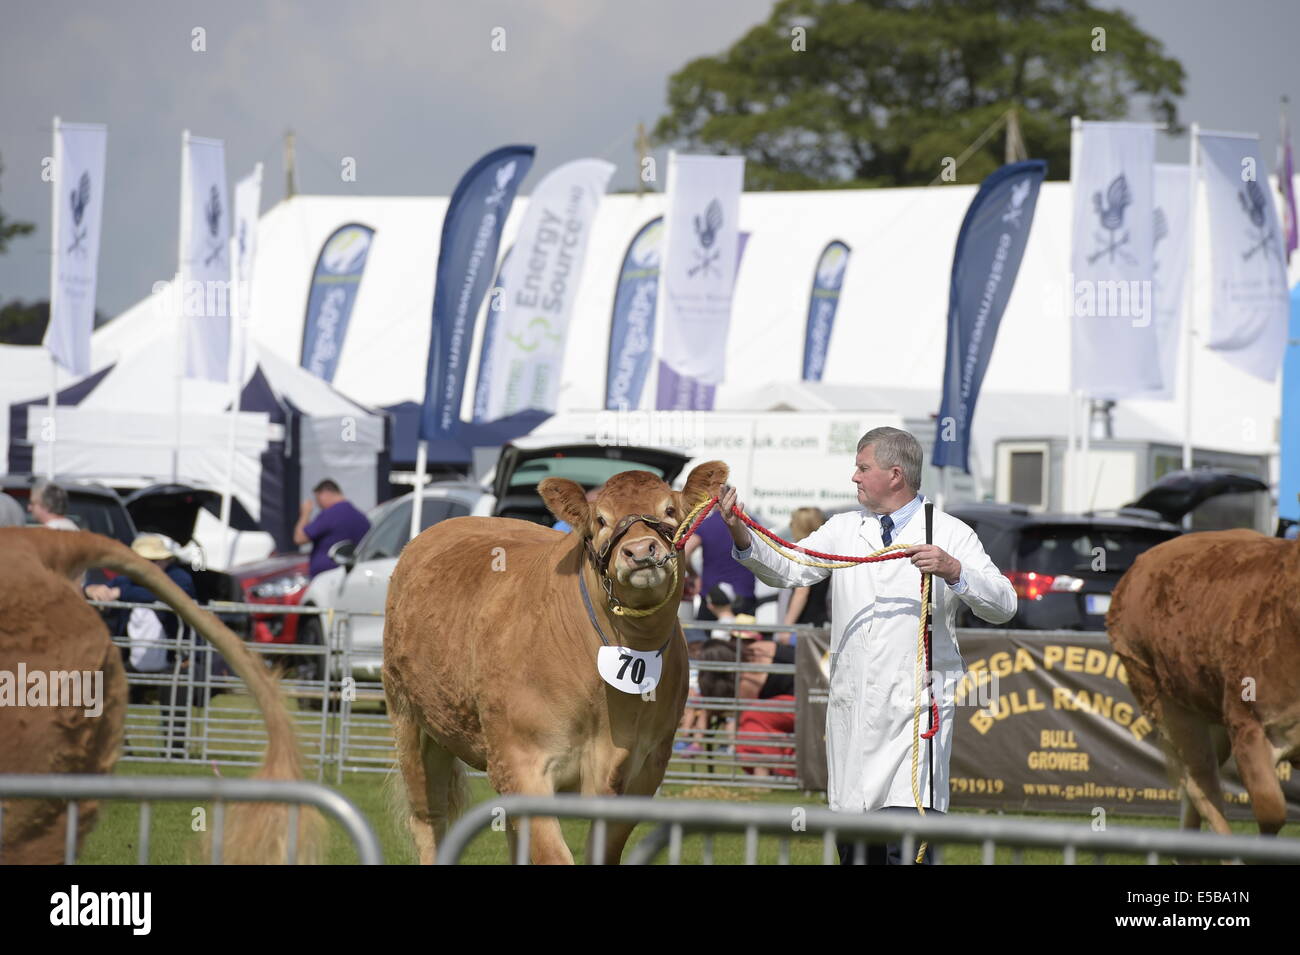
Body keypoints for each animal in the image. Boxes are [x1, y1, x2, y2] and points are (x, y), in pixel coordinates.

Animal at [382, 459, 733, 862]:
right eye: (600, 519)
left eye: (670, 510)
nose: (641, 550)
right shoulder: (521, 761)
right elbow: (552, 854)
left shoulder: (645, 769)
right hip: (411, 722)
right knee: (429, 818)